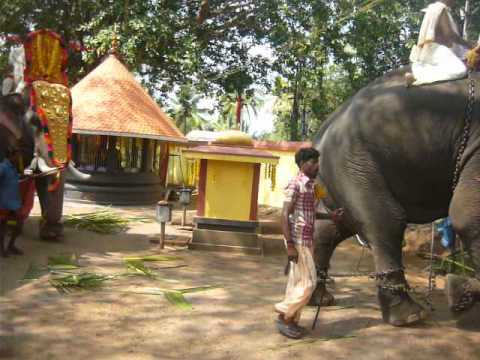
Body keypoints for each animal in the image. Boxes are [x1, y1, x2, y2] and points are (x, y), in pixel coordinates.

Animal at [310, 67, 480, 326]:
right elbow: (467, 215)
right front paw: (461, 295)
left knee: (331, 229)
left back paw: (319, 299)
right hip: (354, 163)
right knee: (385, 220)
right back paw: (410, 315)